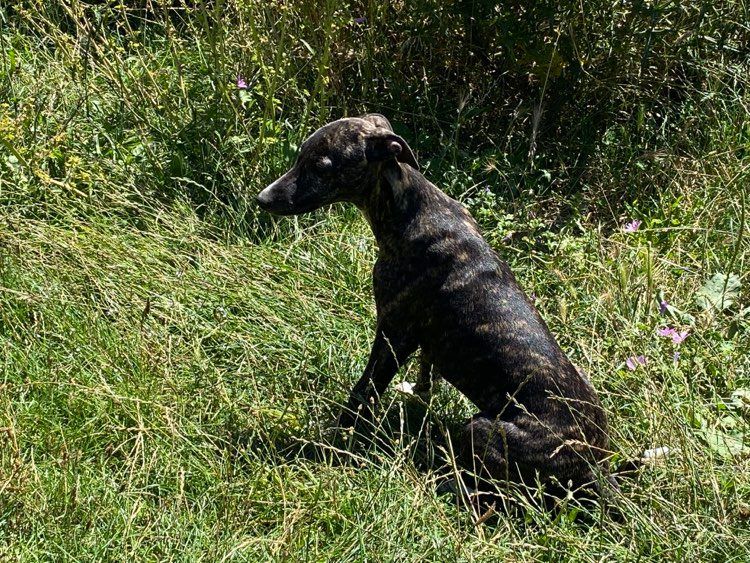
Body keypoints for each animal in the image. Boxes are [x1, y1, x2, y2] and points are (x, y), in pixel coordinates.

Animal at [257, 114, 613, 501]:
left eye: (322, 167)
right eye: (300, 156)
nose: (262, 199)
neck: (413, 209)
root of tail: (596, 467)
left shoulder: (394, 333)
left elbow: (364, 392)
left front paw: (336, 440)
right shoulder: (421, 341)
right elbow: (424, 375)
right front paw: (415, 394)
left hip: (483, 430)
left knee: (498, 495)